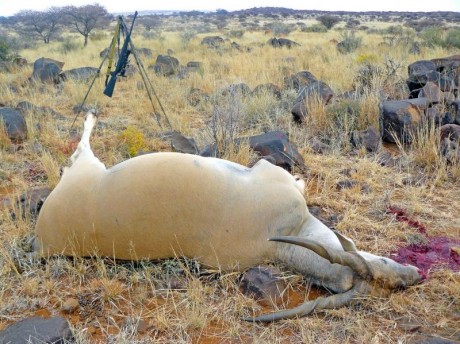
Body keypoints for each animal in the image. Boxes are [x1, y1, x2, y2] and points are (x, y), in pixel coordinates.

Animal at [35, 112, 424, 322]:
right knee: (80, 147)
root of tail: (41, 236)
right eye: (386, 266)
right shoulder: (269, 173)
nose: (415, 275)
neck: (277, 235)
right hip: (87, 166)